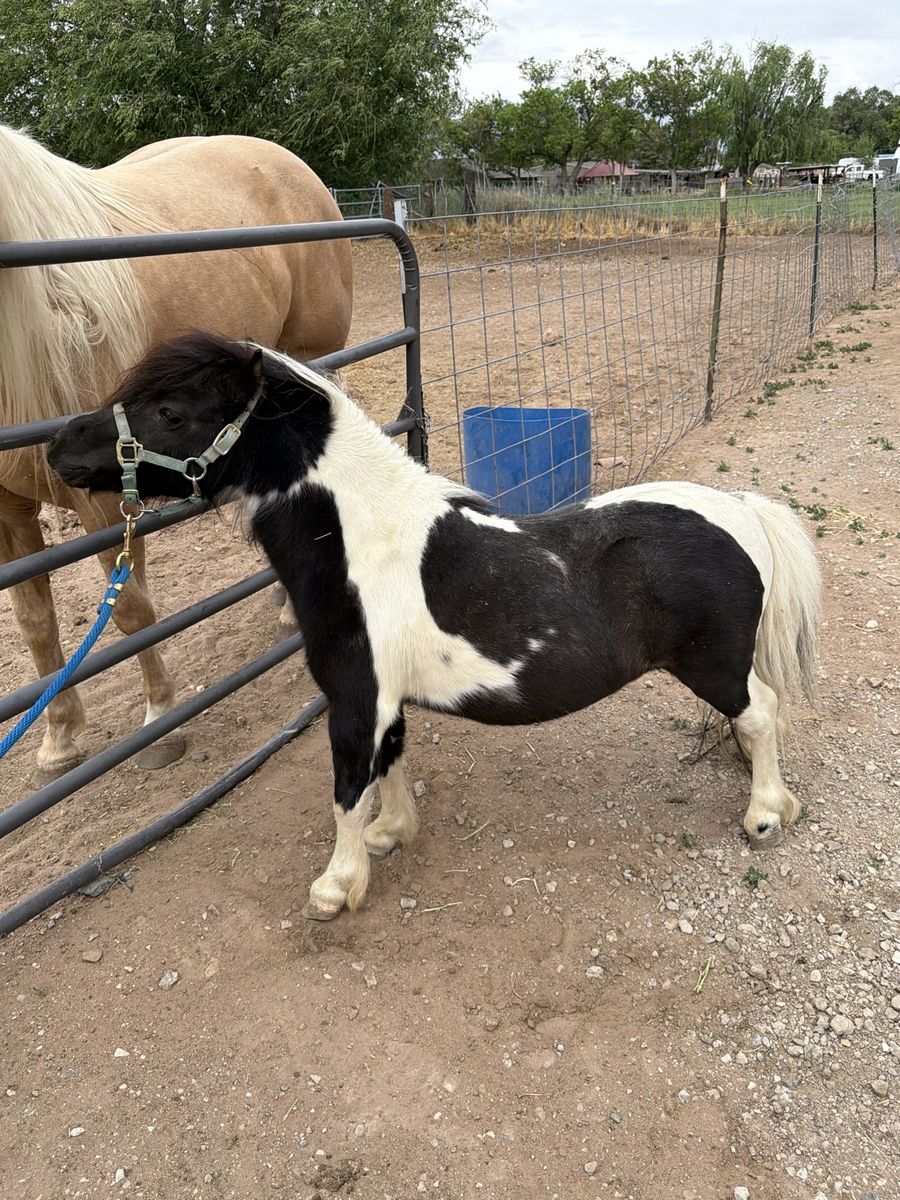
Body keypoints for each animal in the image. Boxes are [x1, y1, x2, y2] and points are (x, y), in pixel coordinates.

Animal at [0, 125, 352, 784]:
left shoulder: (106, 496)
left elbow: (131, 612)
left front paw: (161, 721)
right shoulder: (7, 512)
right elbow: (36, 626)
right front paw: (58, 739)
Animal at [47, 332, 822, 921]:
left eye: (171, 410)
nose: (59, 447)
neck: (364, 542)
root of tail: (742, 510)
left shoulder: (355, 701)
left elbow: (347, 790)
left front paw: (337, 887)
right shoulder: (380, 703)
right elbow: (390, 764)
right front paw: (391, 835)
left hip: (712, 665)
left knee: (760, 715)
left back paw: (764, 815)